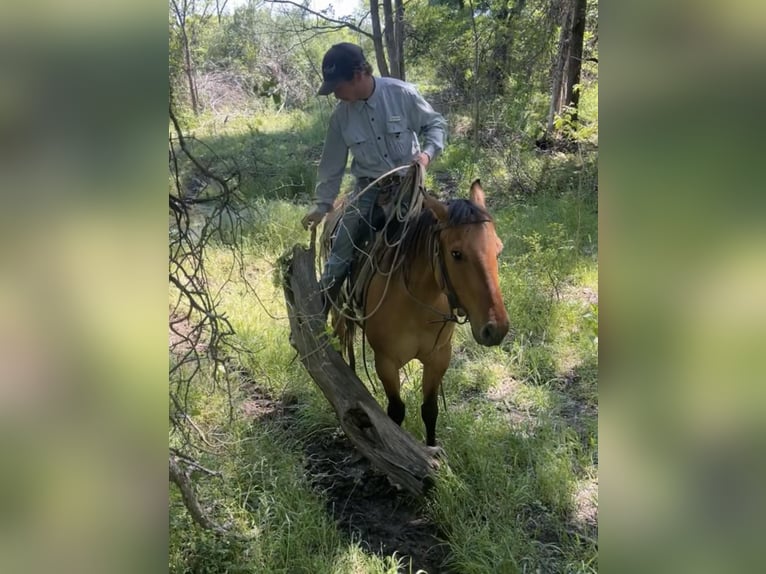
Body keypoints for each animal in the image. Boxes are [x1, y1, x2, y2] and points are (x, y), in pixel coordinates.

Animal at [320, 178, 512, 448]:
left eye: (498, 249)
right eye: (456, 253)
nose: (496, 329)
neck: (418, 301)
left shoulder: (439, 357)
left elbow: (430, 410)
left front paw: (433, 452)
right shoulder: (386, 362)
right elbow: (396, 412)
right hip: (338, 310)